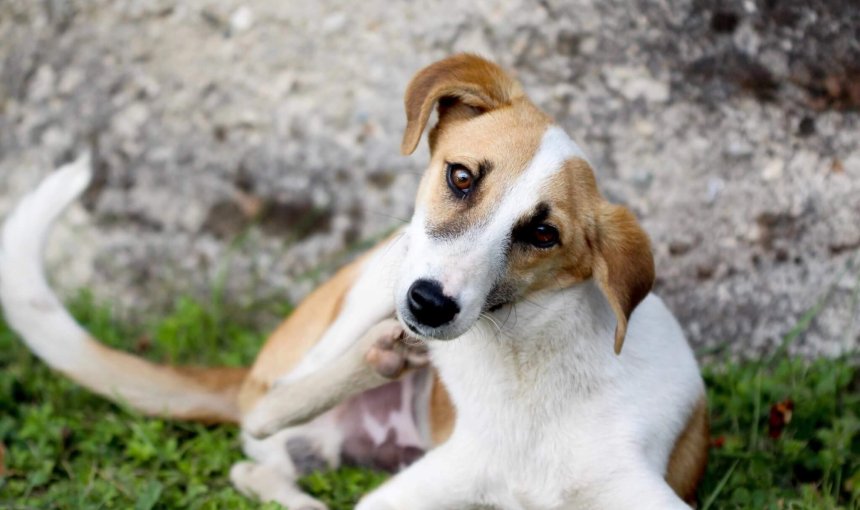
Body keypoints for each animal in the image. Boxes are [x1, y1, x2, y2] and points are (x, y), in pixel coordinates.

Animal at [0, 53, 708, 508]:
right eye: (461, 176)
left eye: (542, 234)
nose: (429, 303)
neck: (527, 367)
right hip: (371, 282)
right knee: (265, 412)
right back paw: (372, 360)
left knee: (256, 467)